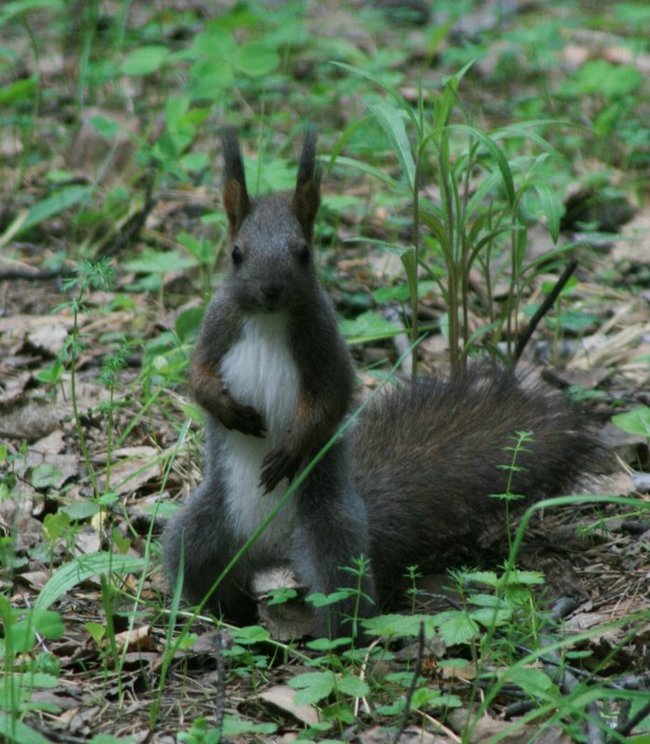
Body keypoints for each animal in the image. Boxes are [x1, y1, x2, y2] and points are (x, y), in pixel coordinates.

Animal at [162, 128, 596, 632]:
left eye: (304, 253)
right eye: (236, 254)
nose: (270, 290)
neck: (268, 320)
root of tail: (272, 553)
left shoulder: (324, 344)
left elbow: (331, 398)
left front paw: (291, 447)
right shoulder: (217, 328)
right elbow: (198, 378)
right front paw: (228, 409)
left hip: (330, 536)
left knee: (344, 598)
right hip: (202, 529)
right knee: (199, 570)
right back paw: (215, 617)